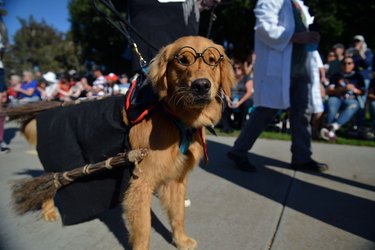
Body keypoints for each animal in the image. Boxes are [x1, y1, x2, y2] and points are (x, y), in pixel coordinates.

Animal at [20, 36, 235, 250]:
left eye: (212, 60)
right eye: (183, 60)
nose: (201, 86)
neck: (175, 118)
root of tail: (46, 112)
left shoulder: (176, 178)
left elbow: (178, 214)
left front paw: (181, 240)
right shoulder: (141, 183)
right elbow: (143, 230)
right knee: (49, 187)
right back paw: (49, 211)